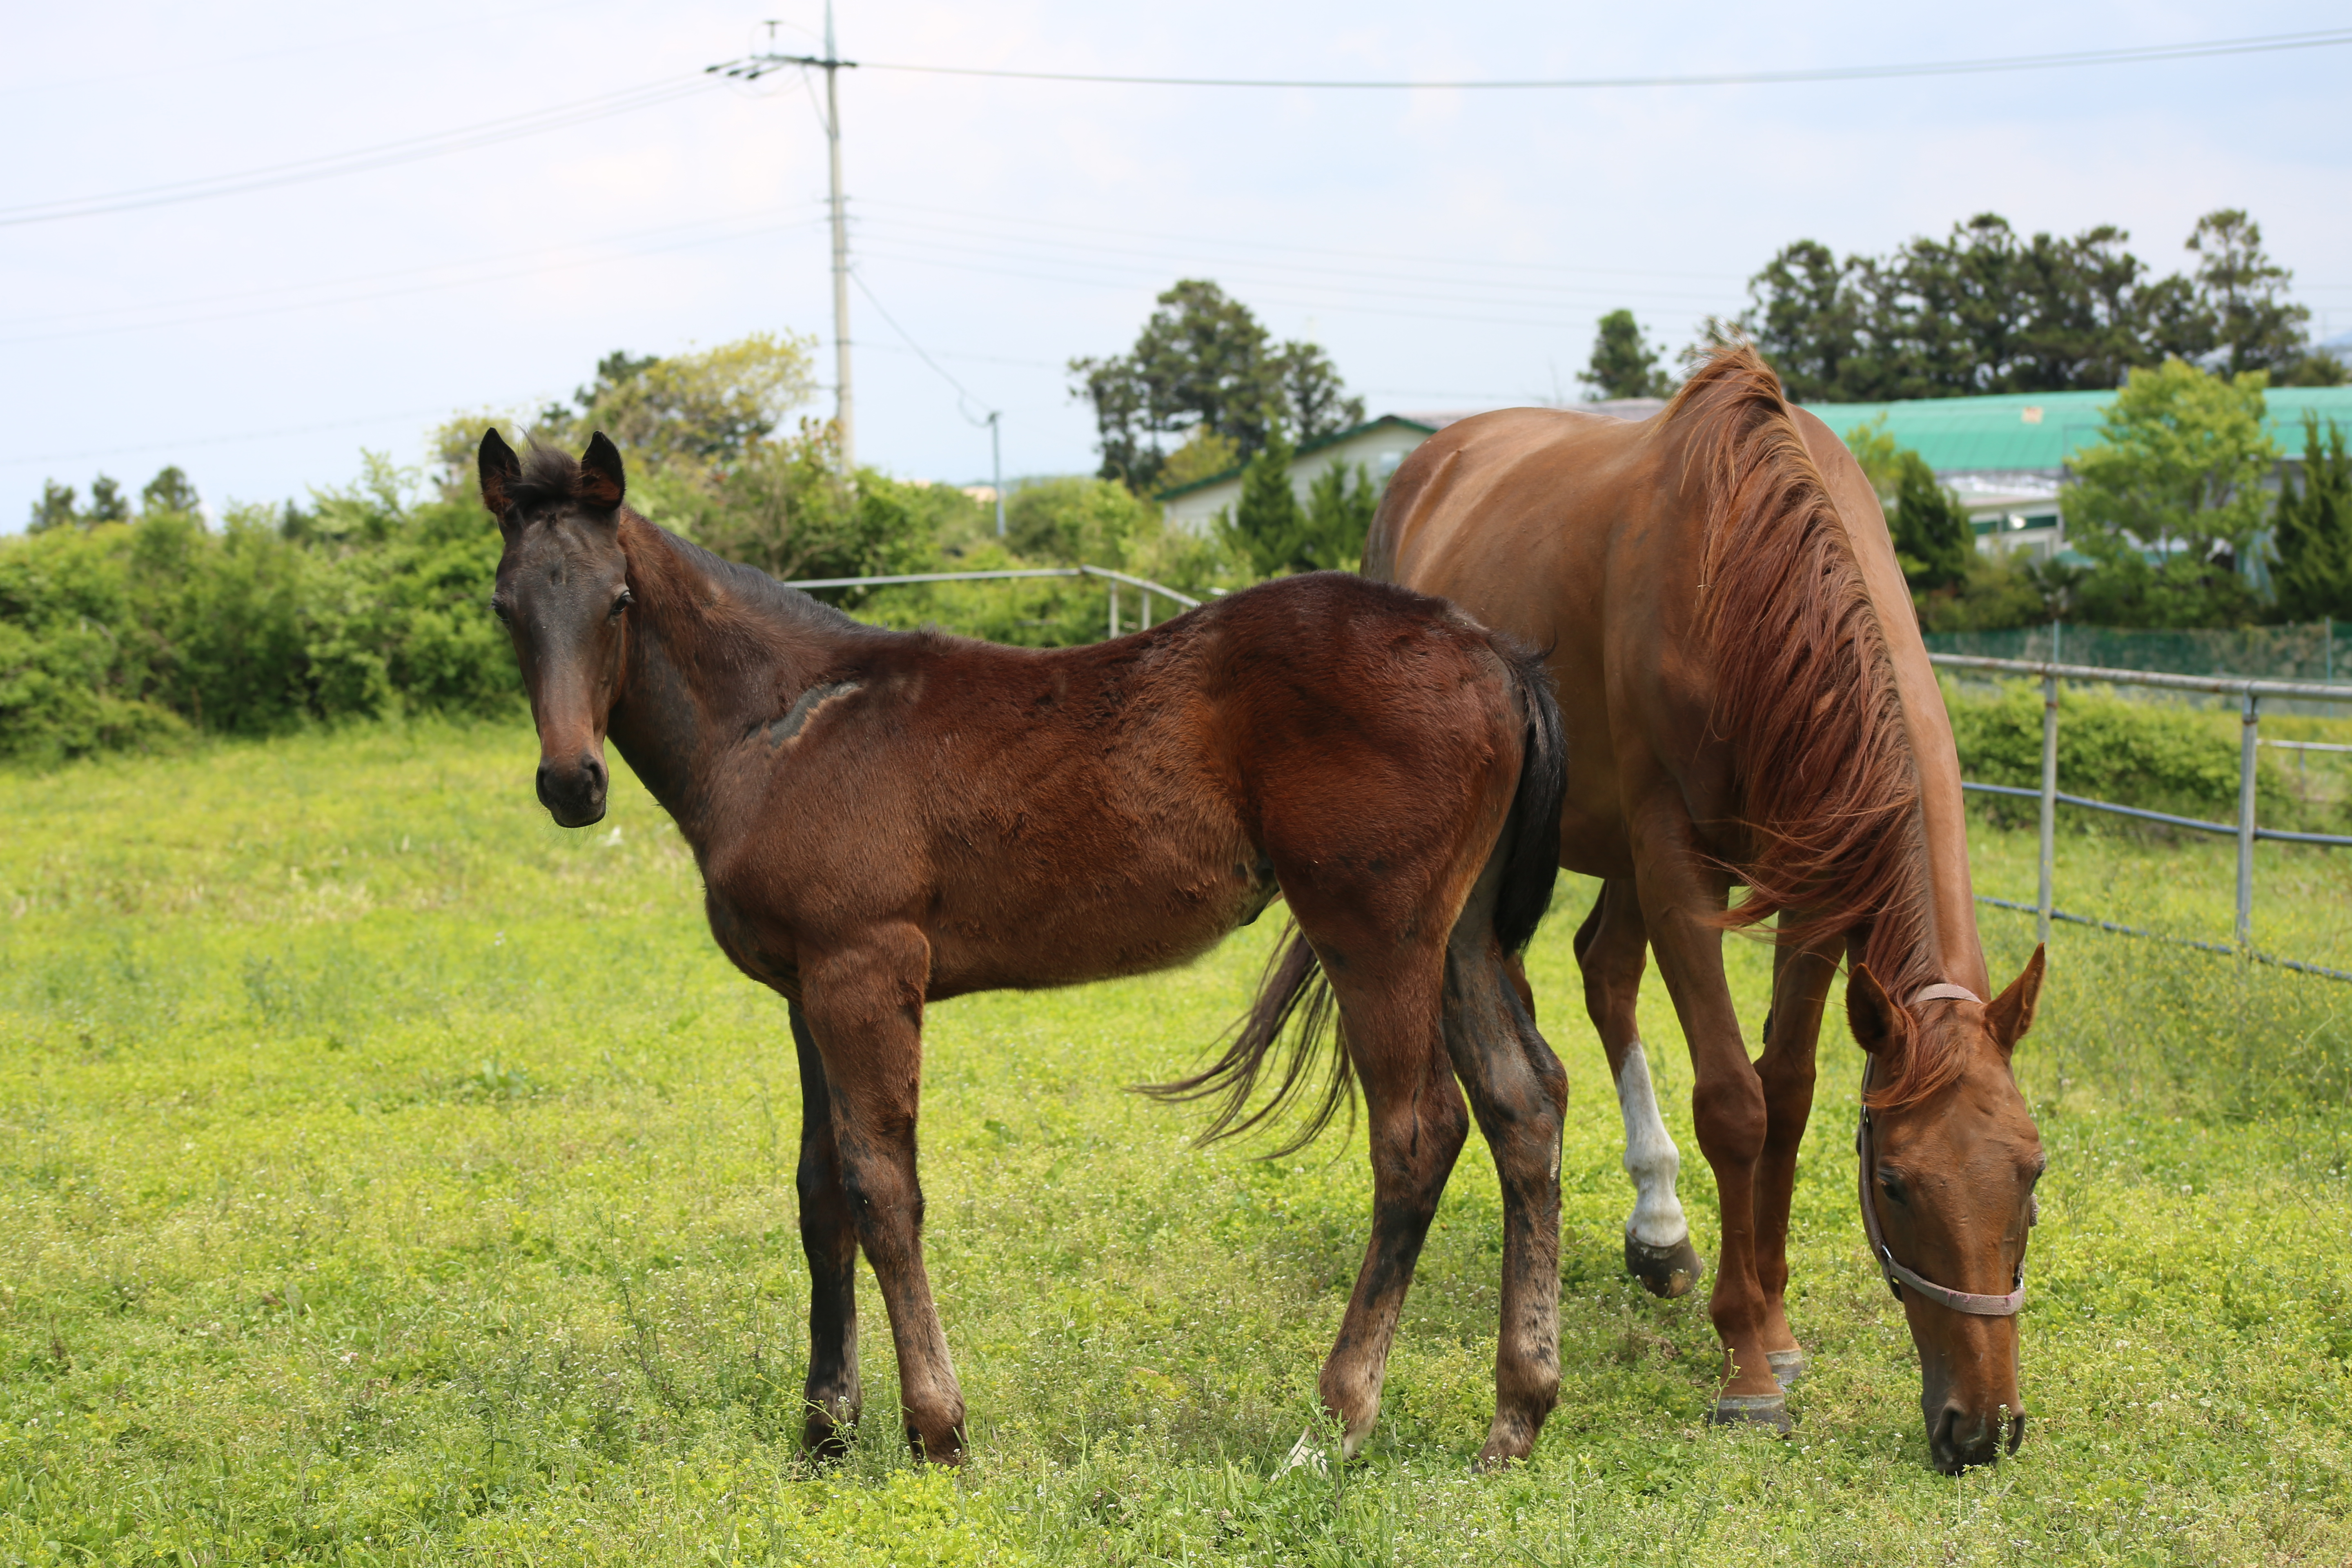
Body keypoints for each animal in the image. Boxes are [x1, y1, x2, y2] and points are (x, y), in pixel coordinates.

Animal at [1373, 343, 2051, 1476]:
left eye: (2031, 1177)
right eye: (1897, 1184)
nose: (1982, 1427)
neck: (1752, 578)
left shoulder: (1817, 880)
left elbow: (1788, 1093)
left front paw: (1774, 1328)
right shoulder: (1675, 860)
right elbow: (1733, 1100)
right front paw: (1744, 1370)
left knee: (1599, 970)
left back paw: (1661, 1230)